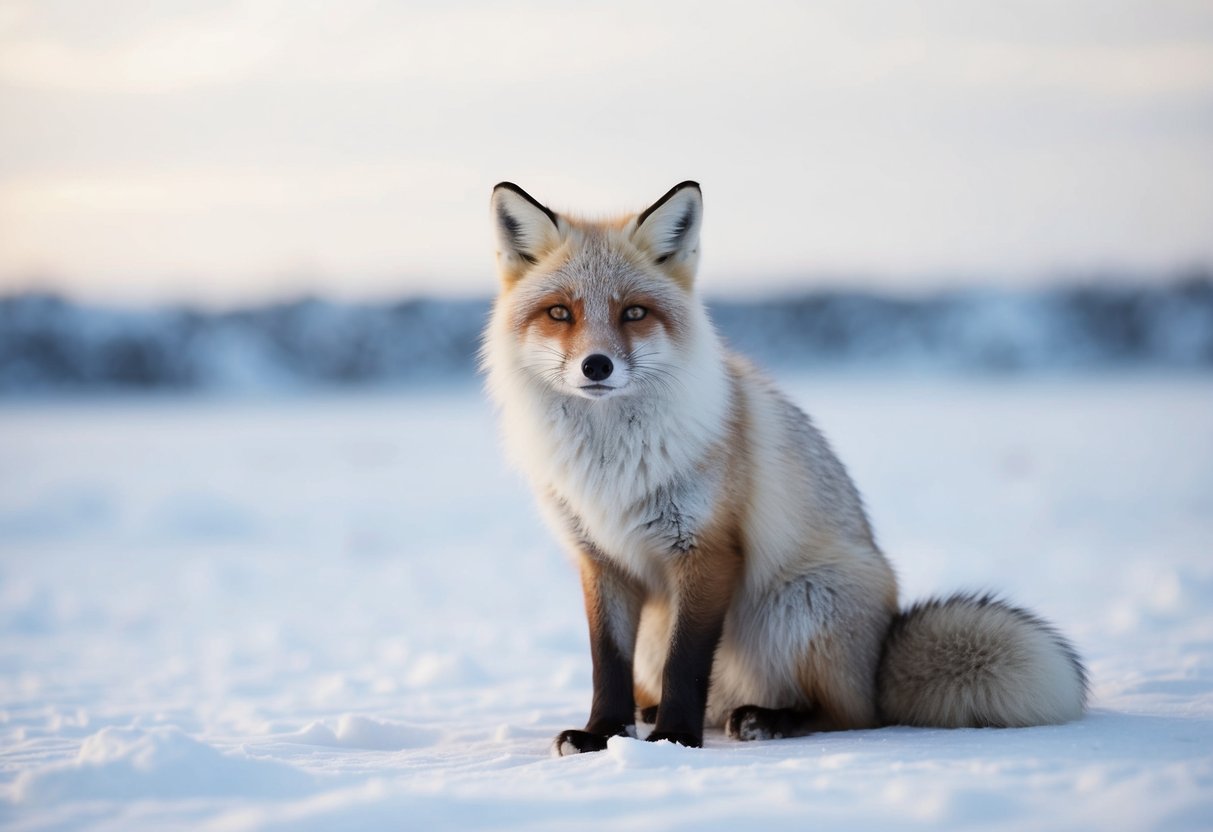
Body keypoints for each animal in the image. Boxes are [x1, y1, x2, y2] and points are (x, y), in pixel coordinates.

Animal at [482, 180, 1088, 755]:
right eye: (560, 312)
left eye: (633, 312)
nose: (597, 366)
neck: (610, 468)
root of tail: (879, 662)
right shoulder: (600, 559)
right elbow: (607, 664)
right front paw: (603, 733)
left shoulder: (708, 550)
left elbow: (688, 663)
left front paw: (674, 740)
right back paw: (660, 711)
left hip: (799, 603)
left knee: (851, 715)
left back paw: (766, 719)